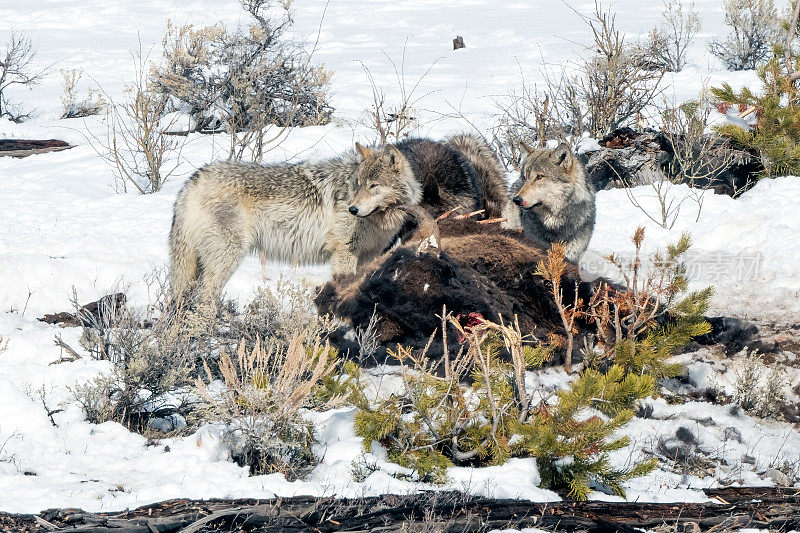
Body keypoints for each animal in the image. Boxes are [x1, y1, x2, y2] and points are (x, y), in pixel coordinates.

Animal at [169, 145, 418, 302]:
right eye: (357, 184)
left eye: (373, 186)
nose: (353, 209)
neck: (380, 218)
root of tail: (193, 181)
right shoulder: (344, 252)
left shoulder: (369, 255)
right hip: (227, 258)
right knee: (204, 297)